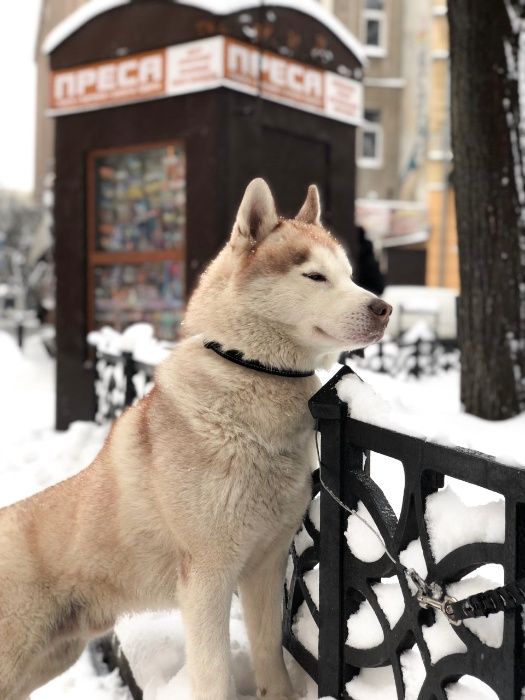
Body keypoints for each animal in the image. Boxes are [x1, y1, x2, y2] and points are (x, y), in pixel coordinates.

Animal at [0, 179, 388, 700]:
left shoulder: (264, 566)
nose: (384, 307)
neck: (250, 373)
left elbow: (269, 654)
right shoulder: (206, 577)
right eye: (314, 276)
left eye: (348, 275)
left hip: (52, 655)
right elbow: (214, 676)